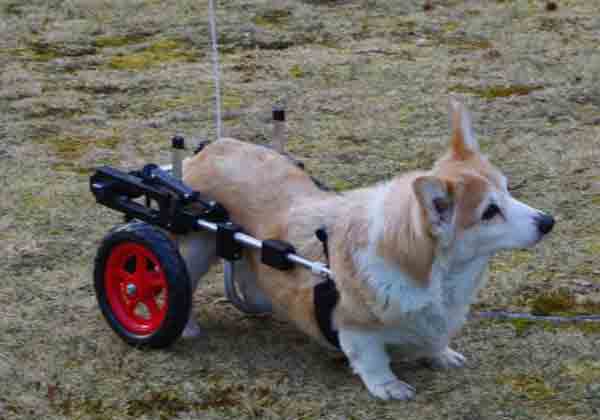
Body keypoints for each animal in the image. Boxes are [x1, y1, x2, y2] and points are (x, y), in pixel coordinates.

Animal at [177, 99, 552, 400]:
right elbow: (371, 358)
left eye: (507, 190)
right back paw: (185, 326)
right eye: (489, 211)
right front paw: (389, 386)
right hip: (196, 247)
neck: (437, 274)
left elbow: (434, 340)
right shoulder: (355, 327)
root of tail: (209, 148)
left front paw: (442, 355)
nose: (548, 221)